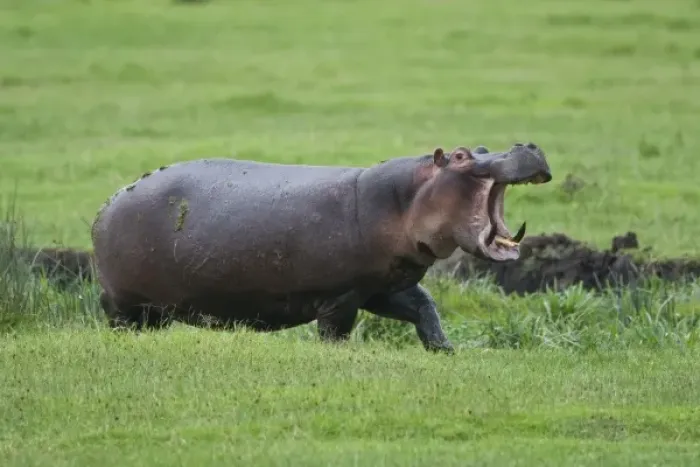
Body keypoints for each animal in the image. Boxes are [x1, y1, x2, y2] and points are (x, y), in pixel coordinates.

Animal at [91, 142, 552, 353]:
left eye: (482, 148)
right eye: (460, 155)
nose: (527, 146)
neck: (406, 199)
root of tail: (108, 203)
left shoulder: (381, 286)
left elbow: (424, 307)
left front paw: (445, 351)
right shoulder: (340, 295)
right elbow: (336, 332)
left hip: (154, 311)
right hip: (122, 305)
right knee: (119, 324)